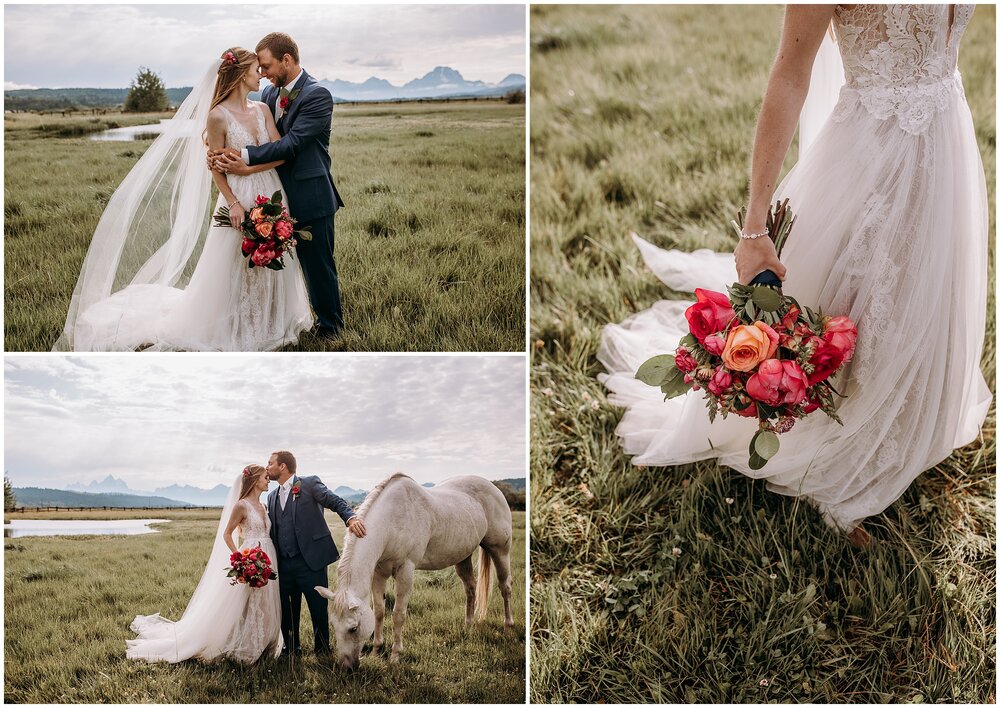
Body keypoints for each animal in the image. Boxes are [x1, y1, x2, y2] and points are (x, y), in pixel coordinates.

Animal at [314, 476, 516, 668]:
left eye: (353, 628)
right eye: (333, 626)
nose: (346, 667)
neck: (392, 521)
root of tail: (494, 489)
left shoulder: (406, 572)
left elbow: (398, 614)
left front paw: (395, 656)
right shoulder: (379, 573)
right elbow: (379, 611)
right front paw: (376, 651)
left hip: (500, 550)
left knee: (505, 587)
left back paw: (508, 629)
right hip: (463, 556)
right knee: (471, 588)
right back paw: (468, 626)